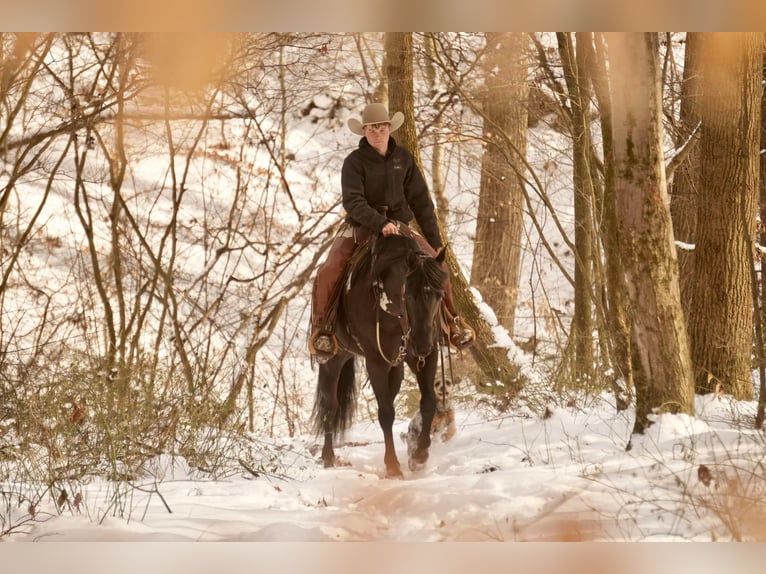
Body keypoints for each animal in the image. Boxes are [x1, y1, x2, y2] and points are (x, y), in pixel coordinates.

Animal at [312, 232, 450, 480]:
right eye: (409, 295)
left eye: (440, 295)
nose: (421, 344)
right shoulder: (375, 362)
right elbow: (385, 413)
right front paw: (393, 466)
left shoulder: (427, 358)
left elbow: (428, 402)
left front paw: (420, 455)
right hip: (333, 360)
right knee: (330, 405)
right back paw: (328, 457)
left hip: (395, 366)